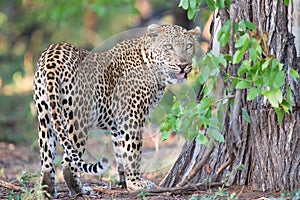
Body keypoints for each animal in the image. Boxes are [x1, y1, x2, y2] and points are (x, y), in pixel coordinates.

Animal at [33, 23, 199, 197]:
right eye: (169, 47)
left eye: (189, 46)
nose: (183, 65)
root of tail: (53, 54)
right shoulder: (132, 116)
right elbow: (133, 151)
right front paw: (136, 183)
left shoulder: (118, 125)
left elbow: (121, 152)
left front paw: (123, 182)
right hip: (77, 119)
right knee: (68, 162)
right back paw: (80, 191)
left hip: (45, 115)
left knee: (47, 160)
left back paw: (49, 192)